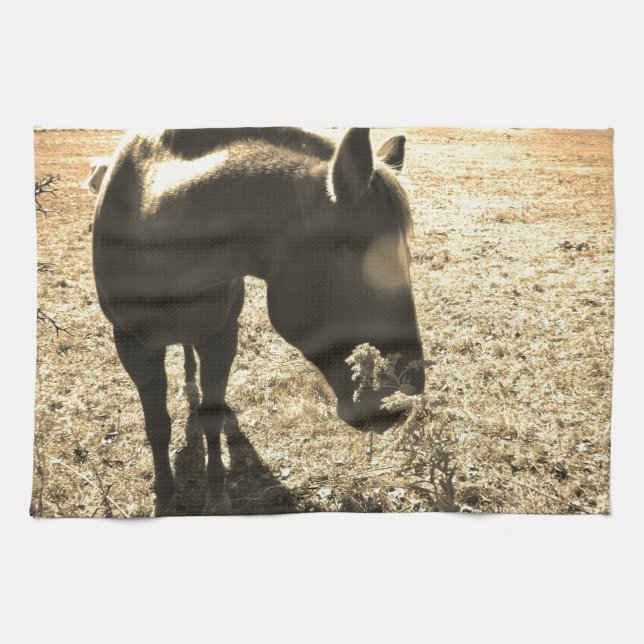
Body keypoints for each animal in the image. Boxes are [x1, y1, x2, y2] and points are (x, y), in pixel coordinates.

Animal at [92, 127, 425, 515]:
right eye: (374, 274)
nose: (398, 408)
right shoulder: (132, 345)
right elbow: (157, 424)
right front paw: (164, 492)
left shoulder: (220, 337)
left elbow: (211, 414)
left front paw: (216, 495)